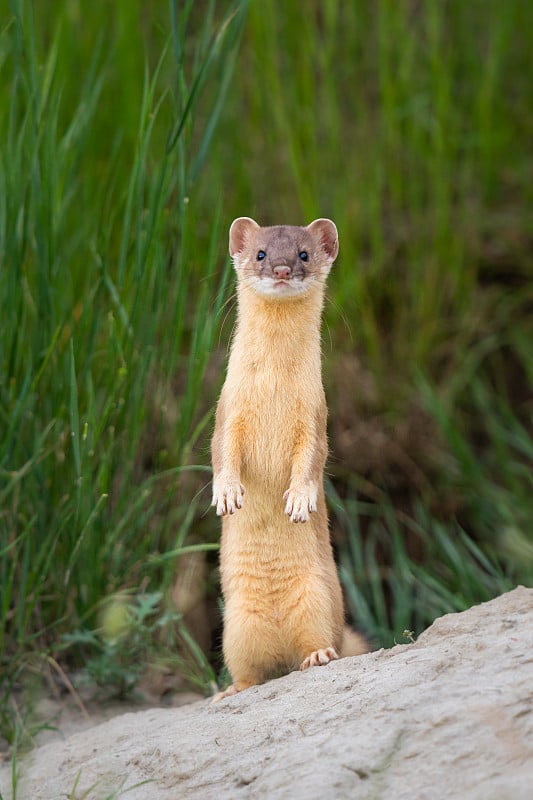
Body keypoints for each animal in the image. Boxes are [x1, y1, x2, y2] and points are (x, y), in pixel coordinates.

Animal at [210, 216, 368, 696]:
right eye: (261, 253)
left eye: (303, 253)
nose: (281, 268)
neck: (274, 391)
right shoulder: (227, 411)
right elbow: (221, 452)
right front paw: (227, 493)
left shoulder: (315, 417)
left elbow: (312, 459)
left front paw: (299, 499)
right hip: (235, 626)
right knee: (250, 669)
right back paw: (231, 689)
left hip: (318, 600)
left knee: (319, 641)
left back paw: (317, 655)